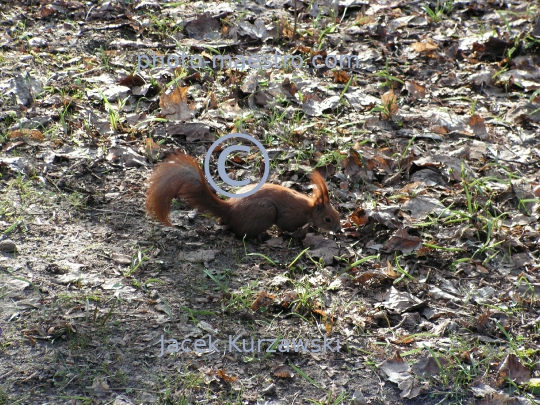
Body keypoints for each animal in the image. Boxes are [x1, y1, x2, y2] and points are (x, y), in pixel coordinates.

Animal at [147, 153, 342, 238]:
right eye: (328, 219)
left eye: (338, 214)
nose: (339, 230)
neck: (309, 208)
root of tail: (230, 209)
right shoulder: (291, 216)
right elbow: (285, 226)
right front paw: (300, 231)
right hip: (266, 211)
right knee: (242, 232)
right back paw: (261, 237)